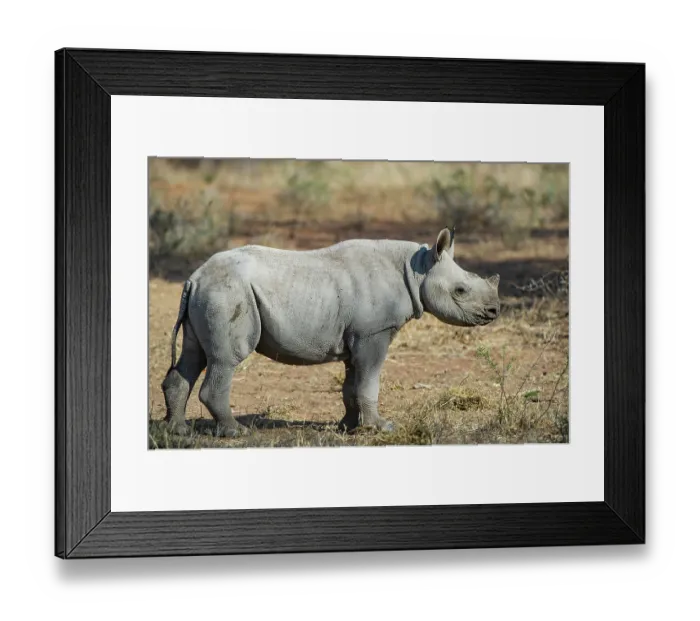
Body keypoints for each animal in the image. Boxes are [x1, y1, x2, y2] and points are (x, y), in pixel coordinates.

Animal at [162, 227, 501, 437]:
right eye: (461, 290)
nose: (495, 311)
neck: (417, 269)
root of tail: (194, 277)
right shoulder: (374, 333)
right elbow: (369, 382)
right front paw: (381, 427)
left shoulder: (358, 337)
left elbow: (352, 385)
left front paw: (347, 427)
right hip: (227, 292)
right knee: (226, 360)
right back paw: (235, 432)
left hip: (210, 293)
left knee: (194, 356)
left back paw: (178, 431)